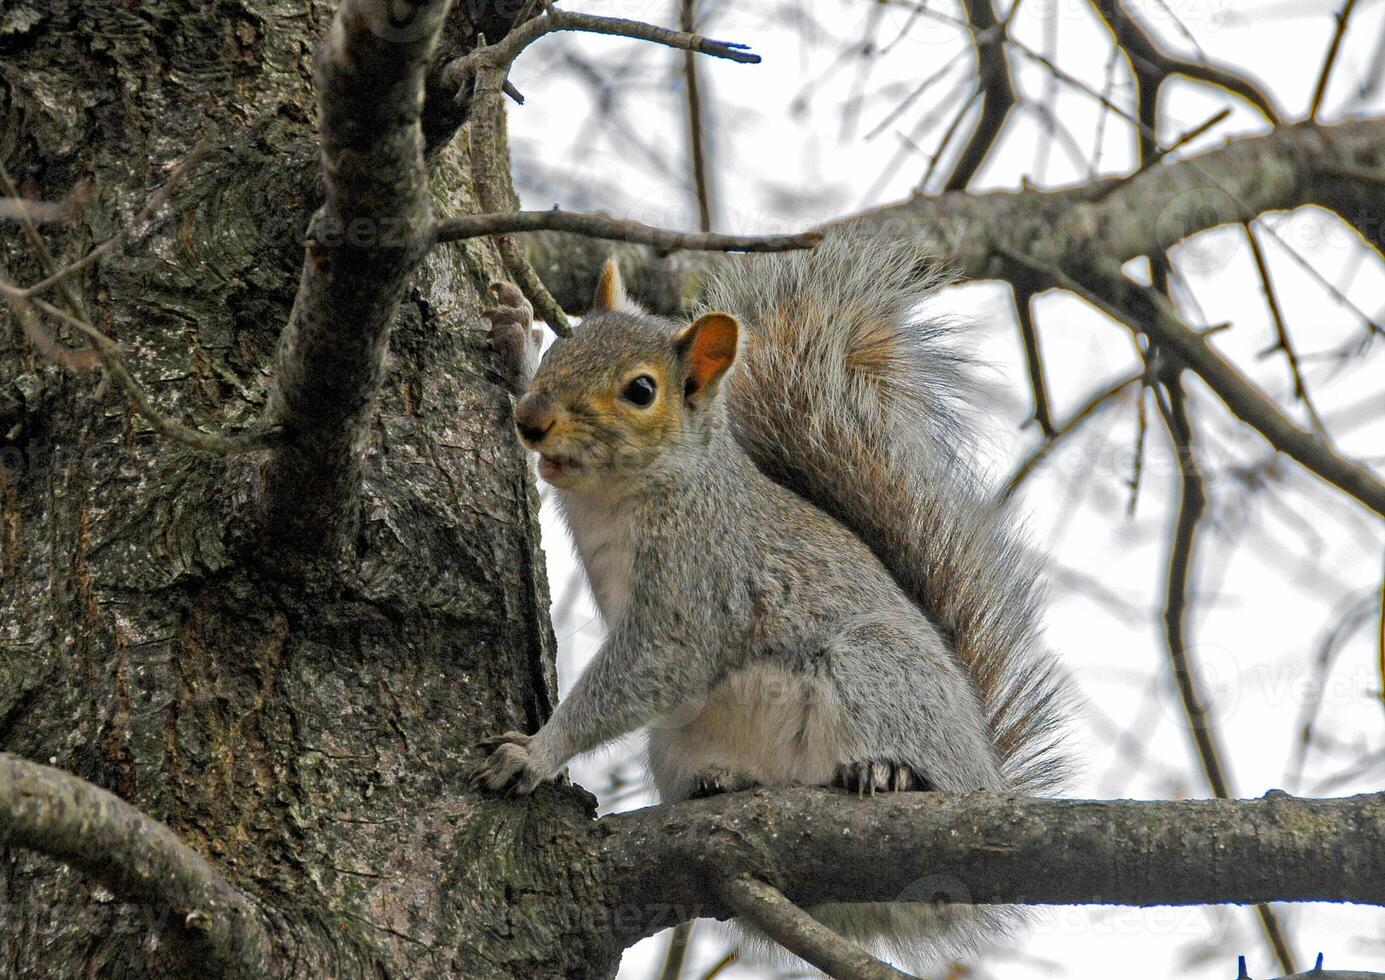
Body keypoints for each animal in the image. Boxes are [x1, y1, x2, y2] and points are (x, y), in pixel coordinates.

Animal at [472, 235, 1070, 966]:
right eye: (564, 348)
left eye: (641, 391)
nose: (533, 420)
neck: (635, 490)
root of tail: (987, 769)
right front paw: (512, 342)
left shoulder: (698, 585)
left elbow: (652, 667)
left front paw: (536, 752)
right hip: (678, 744)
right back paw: (724, 783)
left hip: (875, 671)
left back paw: (892, 774)